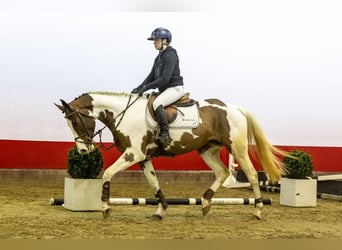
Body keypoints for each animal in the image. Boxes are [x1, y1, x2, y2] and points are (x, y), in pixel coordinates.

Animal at [55, 91, 286, 219]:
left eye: (75, 121)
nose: (83, 151)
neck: (125, 114)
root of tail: (234, 108)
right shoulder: (144, 158)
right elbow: (154, 184)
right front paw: (160, 211)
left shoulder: (133, 154)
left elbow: (107, 173)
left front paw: (105, 207)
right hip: (207, 149)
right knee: (221, 173)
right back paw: (205, 203)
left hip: (237, 148)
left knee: (252, 175)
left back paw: (257, 210)